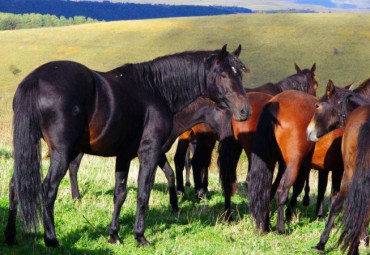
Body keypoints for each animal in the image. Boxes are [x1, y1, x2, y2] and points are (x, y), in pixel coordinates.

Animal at [3, 45, 251, 247]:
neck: (156, 89)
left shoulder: (123, 155)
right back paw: (51, 239)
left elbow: (119, 194)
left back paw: (10, 236)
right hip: (62, 153)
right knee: (47, 189)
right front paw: (140, 236)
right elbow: (143, 192)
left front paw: (114, 235)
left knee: (16, 185)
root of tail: (35, 79)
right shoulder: (150, 152)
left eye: (240, 73)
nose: (245, 111)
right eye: (224, 74)